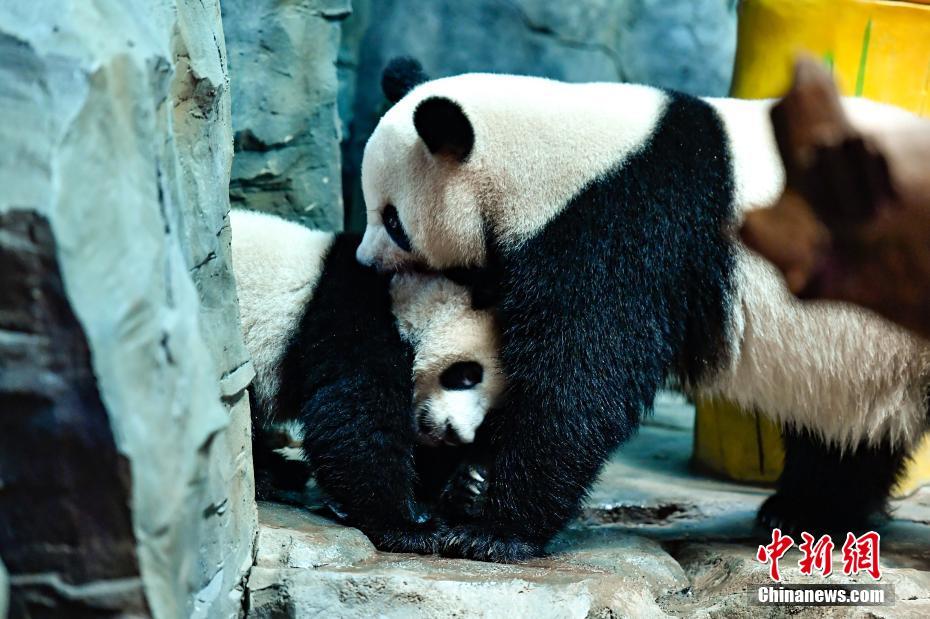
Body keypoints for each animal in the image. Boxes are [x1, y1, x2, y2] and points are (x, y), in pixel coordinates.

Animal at [230, 208, 500, 552]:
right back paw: (271, 474)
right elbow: (355, 418)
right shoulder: (351, 315)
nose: (456, 434)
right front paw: (408, 527)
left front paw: (469, 487)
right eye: (466, 375)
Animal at [354, 60, 928, 564]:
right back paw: (802, 513)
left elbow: (583, 378)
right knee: (850, 436)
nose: (364, 263)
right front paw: (466, 483)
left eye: (394, 220)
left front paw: (492, 532)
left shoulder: (624, 228)